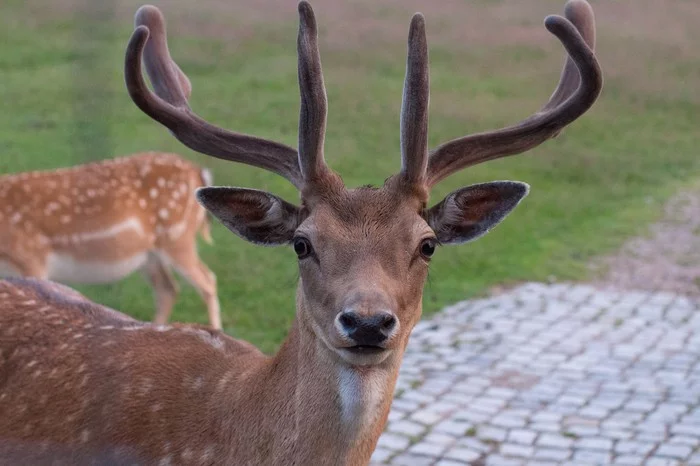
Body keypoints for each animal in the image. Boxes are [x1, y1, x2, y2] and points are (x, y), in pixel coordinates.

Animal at [0, 152, 221, 328]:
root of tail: (199, 172)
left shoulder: (31, 257)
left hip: (177, 236)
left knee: (207, 280)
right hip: (150, 254)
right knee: (168, 288)